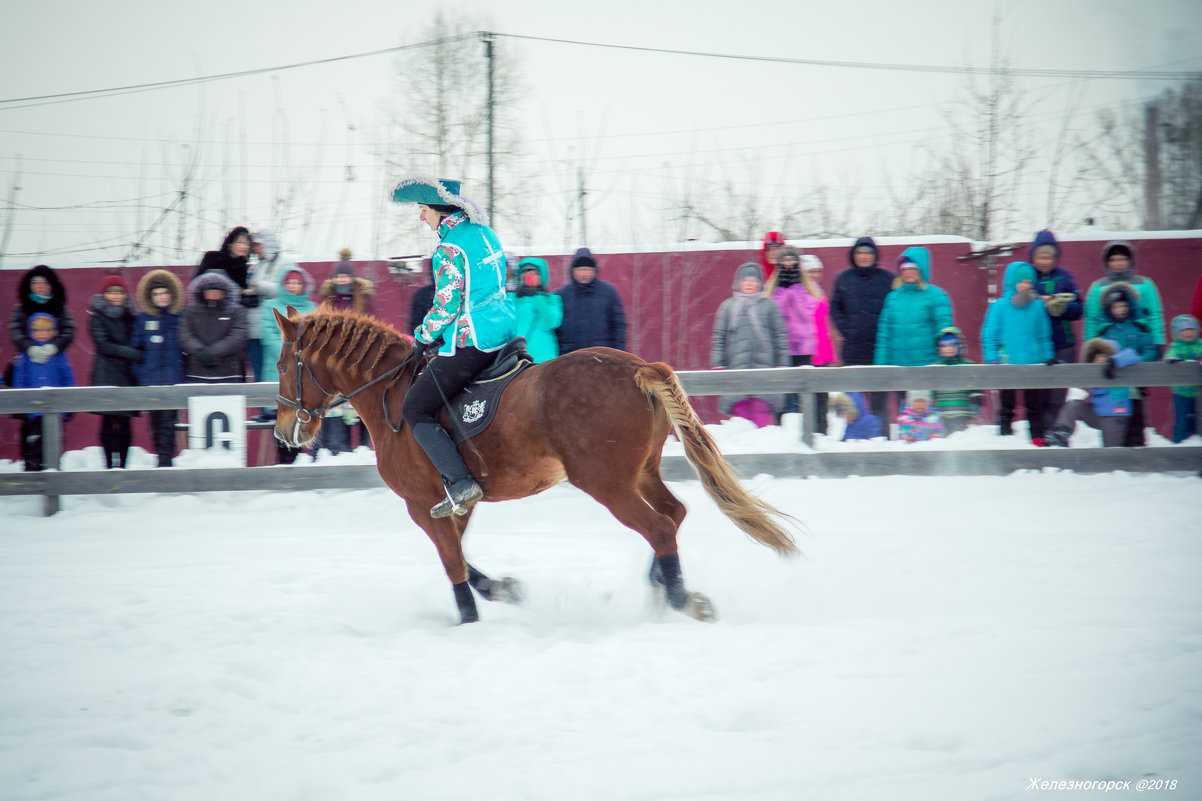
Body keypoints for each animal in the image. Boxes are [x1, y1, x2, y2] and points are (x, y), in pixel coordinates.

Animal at [272, 306, 798, 625]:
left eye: (280, 366)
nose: (283, 433)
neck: (392, 396)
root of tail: (636, 368)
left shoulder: (423, 504)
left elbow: (452, 562)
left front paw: (470, 618)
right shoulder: (456, 501)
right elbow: (462, 557)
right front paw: (505, 590)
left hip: (607, 482)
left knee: (660, 527)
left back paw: (679, 598)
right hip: (641, 472)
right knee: (675, 514)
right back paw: (666, 587)